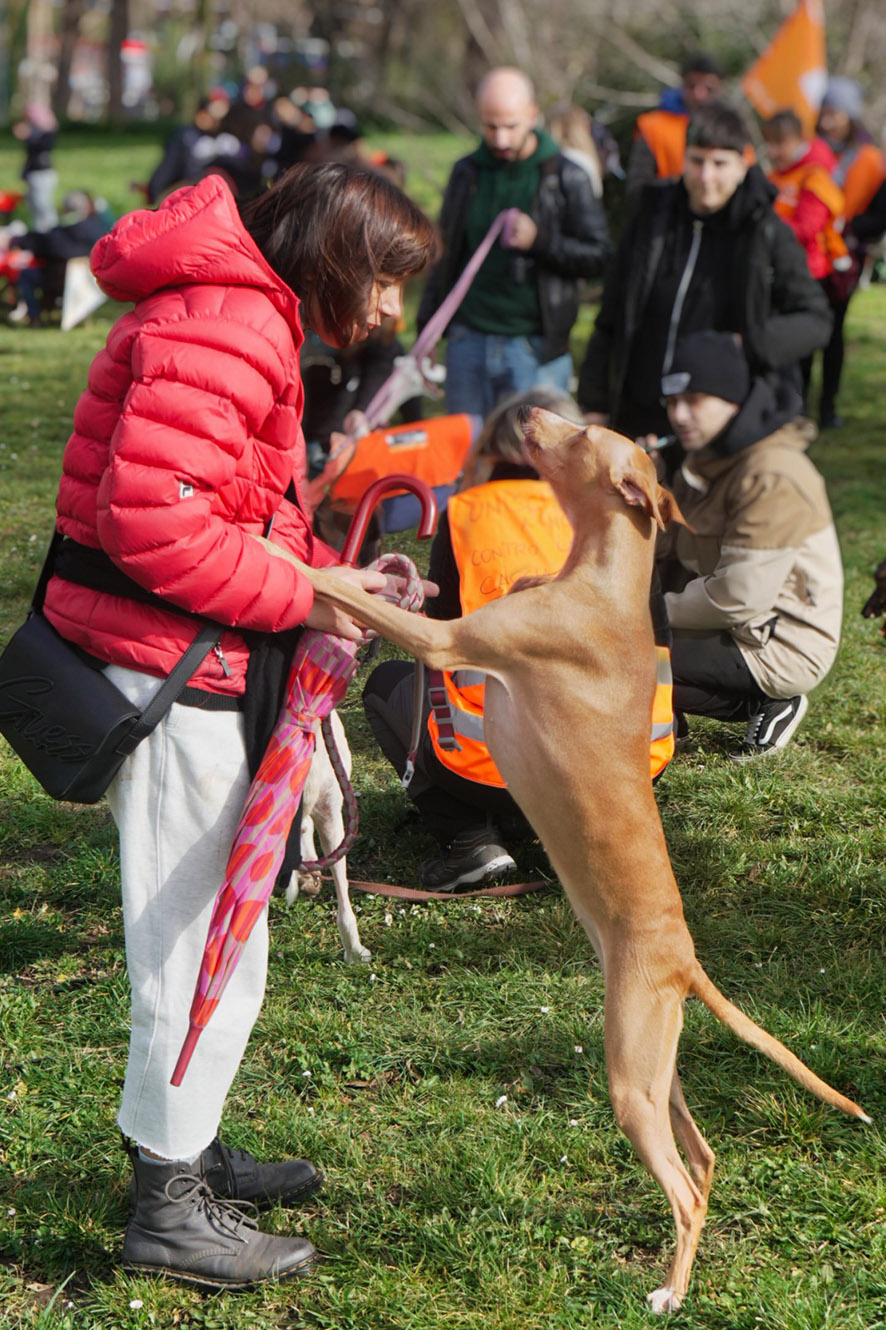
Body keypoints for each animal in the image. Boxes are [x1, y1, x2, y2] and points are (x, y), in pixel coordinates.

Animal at [259, 412, 867, 1308]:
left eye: (585, 435)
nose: (523, 418)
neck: (605, 582)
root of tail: (684, 962)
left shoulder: (446, 642)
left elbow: (343, 592)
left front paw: (281, 557)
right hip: (656, 1070)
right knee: (705, 1158)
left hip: (630, 1080)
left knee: (685, 1192)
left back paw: (669, 1293)